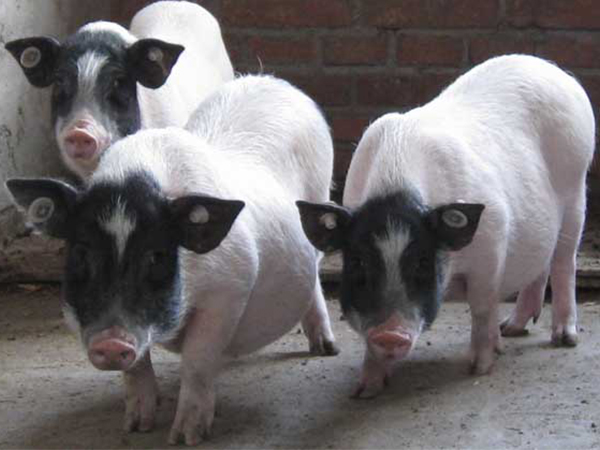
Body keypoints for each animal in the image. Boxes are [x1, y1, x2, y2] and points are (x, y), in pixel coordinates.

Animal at [6, 74, 338, 445]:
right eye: (81, 251)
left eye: (156, 255)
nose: (111, 342)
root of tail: (277, 82)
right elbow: (136, 369)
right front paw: (136, 426)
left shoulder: (230, 287)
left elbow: (197, 360)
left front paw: (185, 437)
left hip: (318, 205)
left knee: (315, 276)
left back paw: (326, 349)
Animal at [297, 54, 595, 398]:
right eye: (358, 262)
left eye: (423, 261)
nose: (390, 334)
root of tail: (556, 72)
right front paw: (365, 390)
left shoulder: (491, 246)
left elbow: (481, 308)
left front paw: (479, 367)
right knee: (540, 266)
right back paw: (511, 329)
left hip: (576, 193)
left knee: (563, 263)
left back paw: (564, 339)